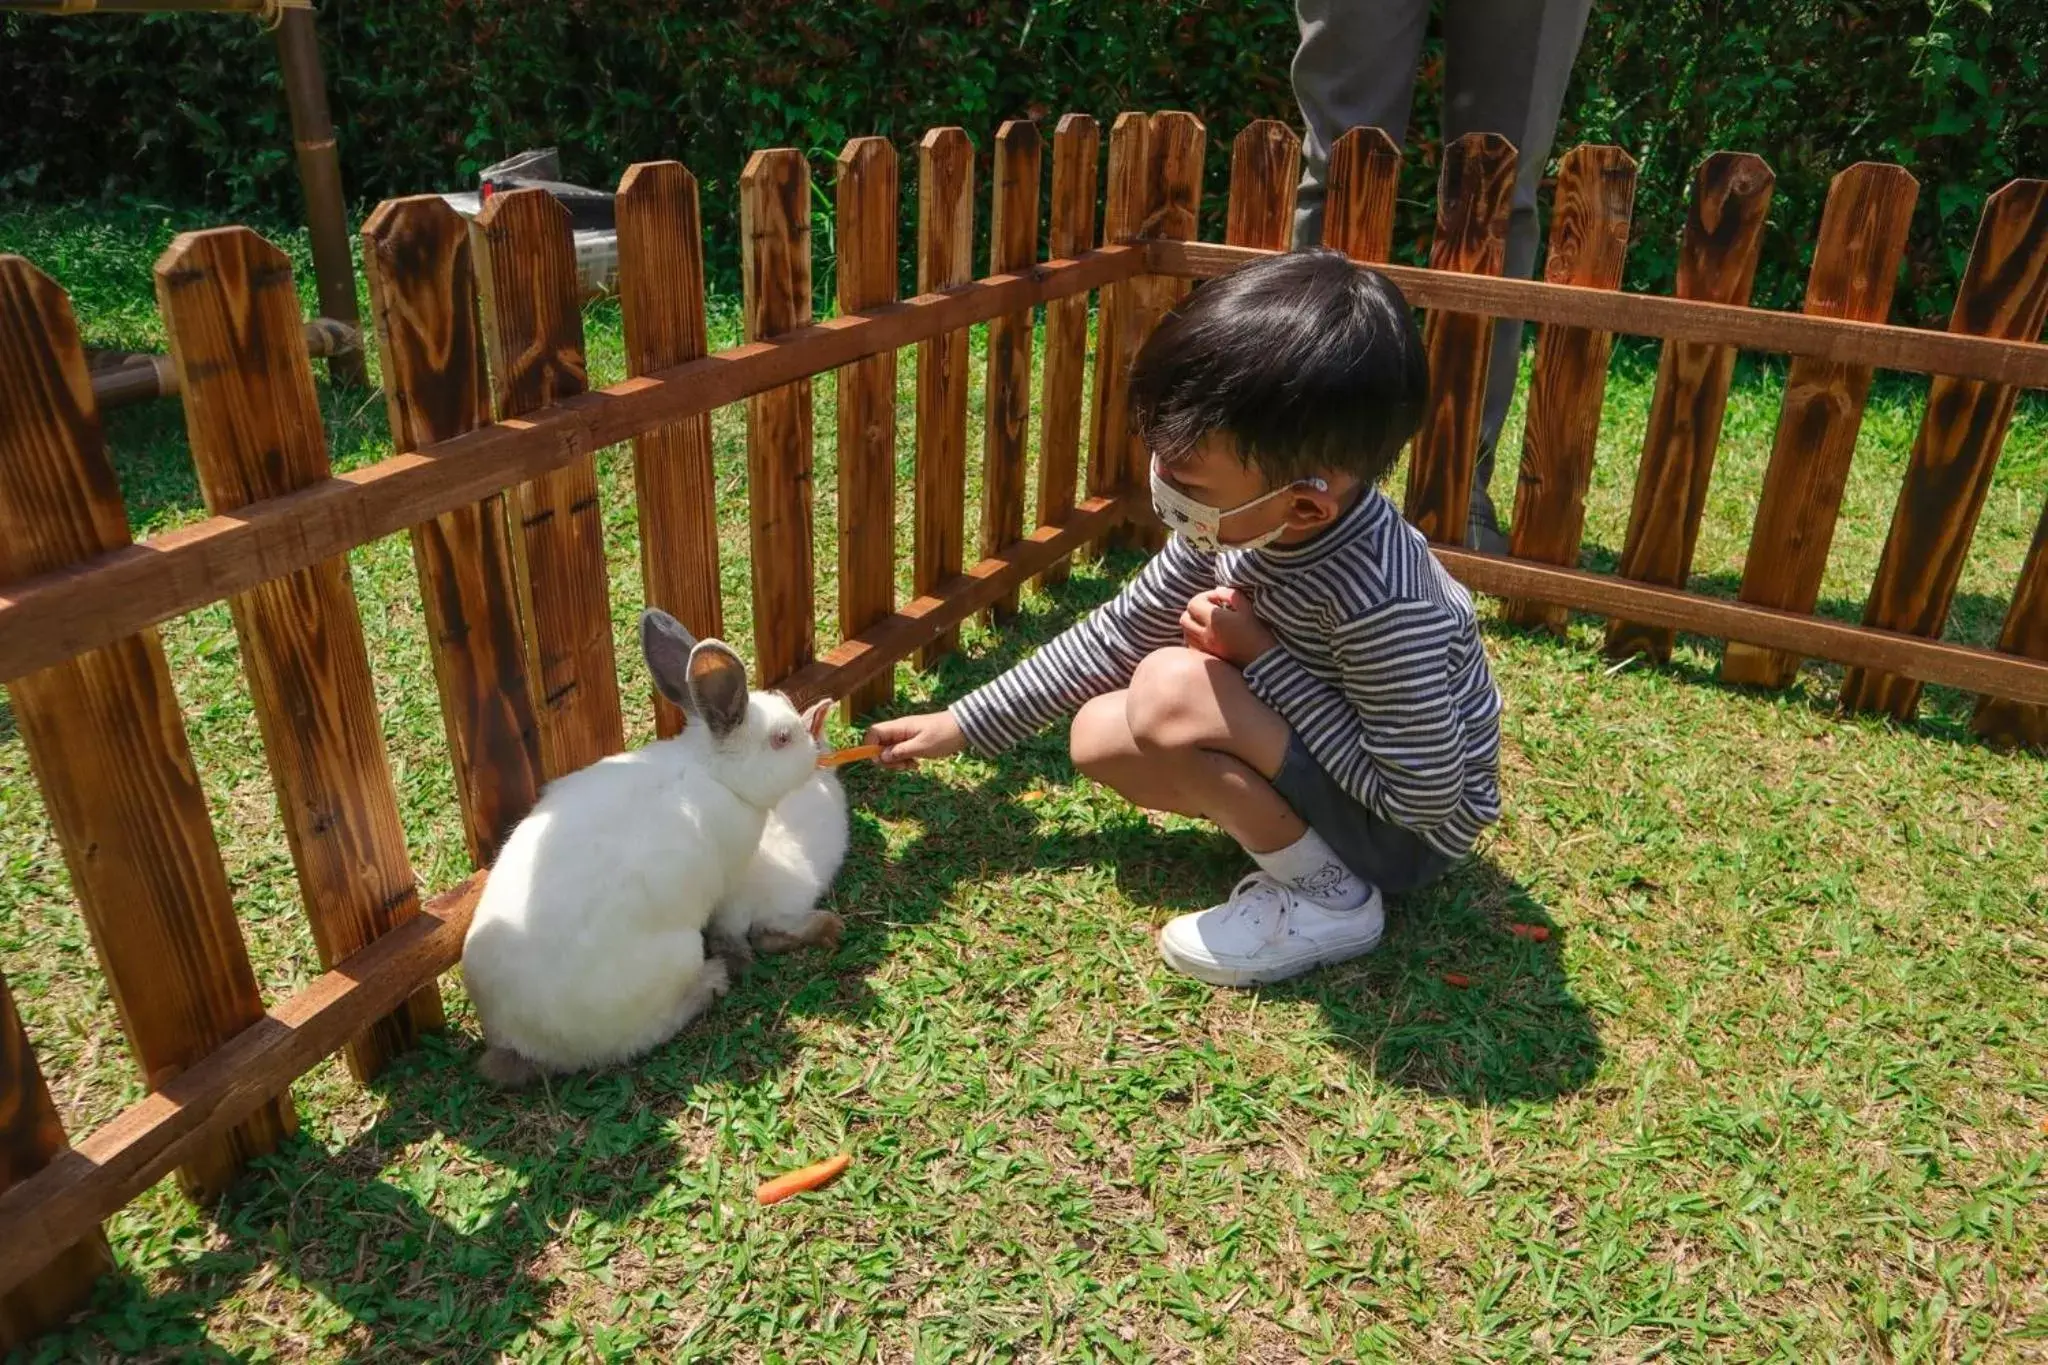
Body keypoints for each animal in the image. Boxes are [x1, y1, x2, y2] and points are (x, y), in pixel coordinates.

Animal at [460, 609, 827, 1088]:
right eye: (782, 739)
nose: (814, 752)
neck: (713, 772)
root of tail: (522, 1042)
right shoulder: (728, 885)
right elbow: (730, 925)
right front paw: (740, 960)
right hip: (678, 957)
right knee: (649, 1032)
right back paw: (711, 982)